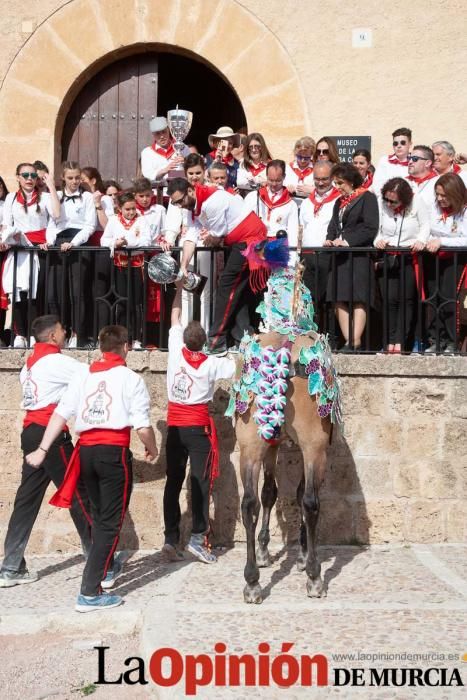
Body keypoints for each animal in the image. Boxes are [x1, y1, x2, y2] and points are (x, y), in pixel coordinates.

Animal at [225, 238, 342, 604]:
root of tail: (285, 348)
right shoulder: (310, 445)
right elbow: (299, 493)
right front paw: (303, 555)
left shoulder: (272, 443)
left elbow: (268, 492)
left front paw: (264, 552)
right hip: (314, 444)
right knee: (311, 501)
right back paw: (315, 576)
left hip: (250, 442)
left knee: (248, 502)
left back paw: (251, 581)